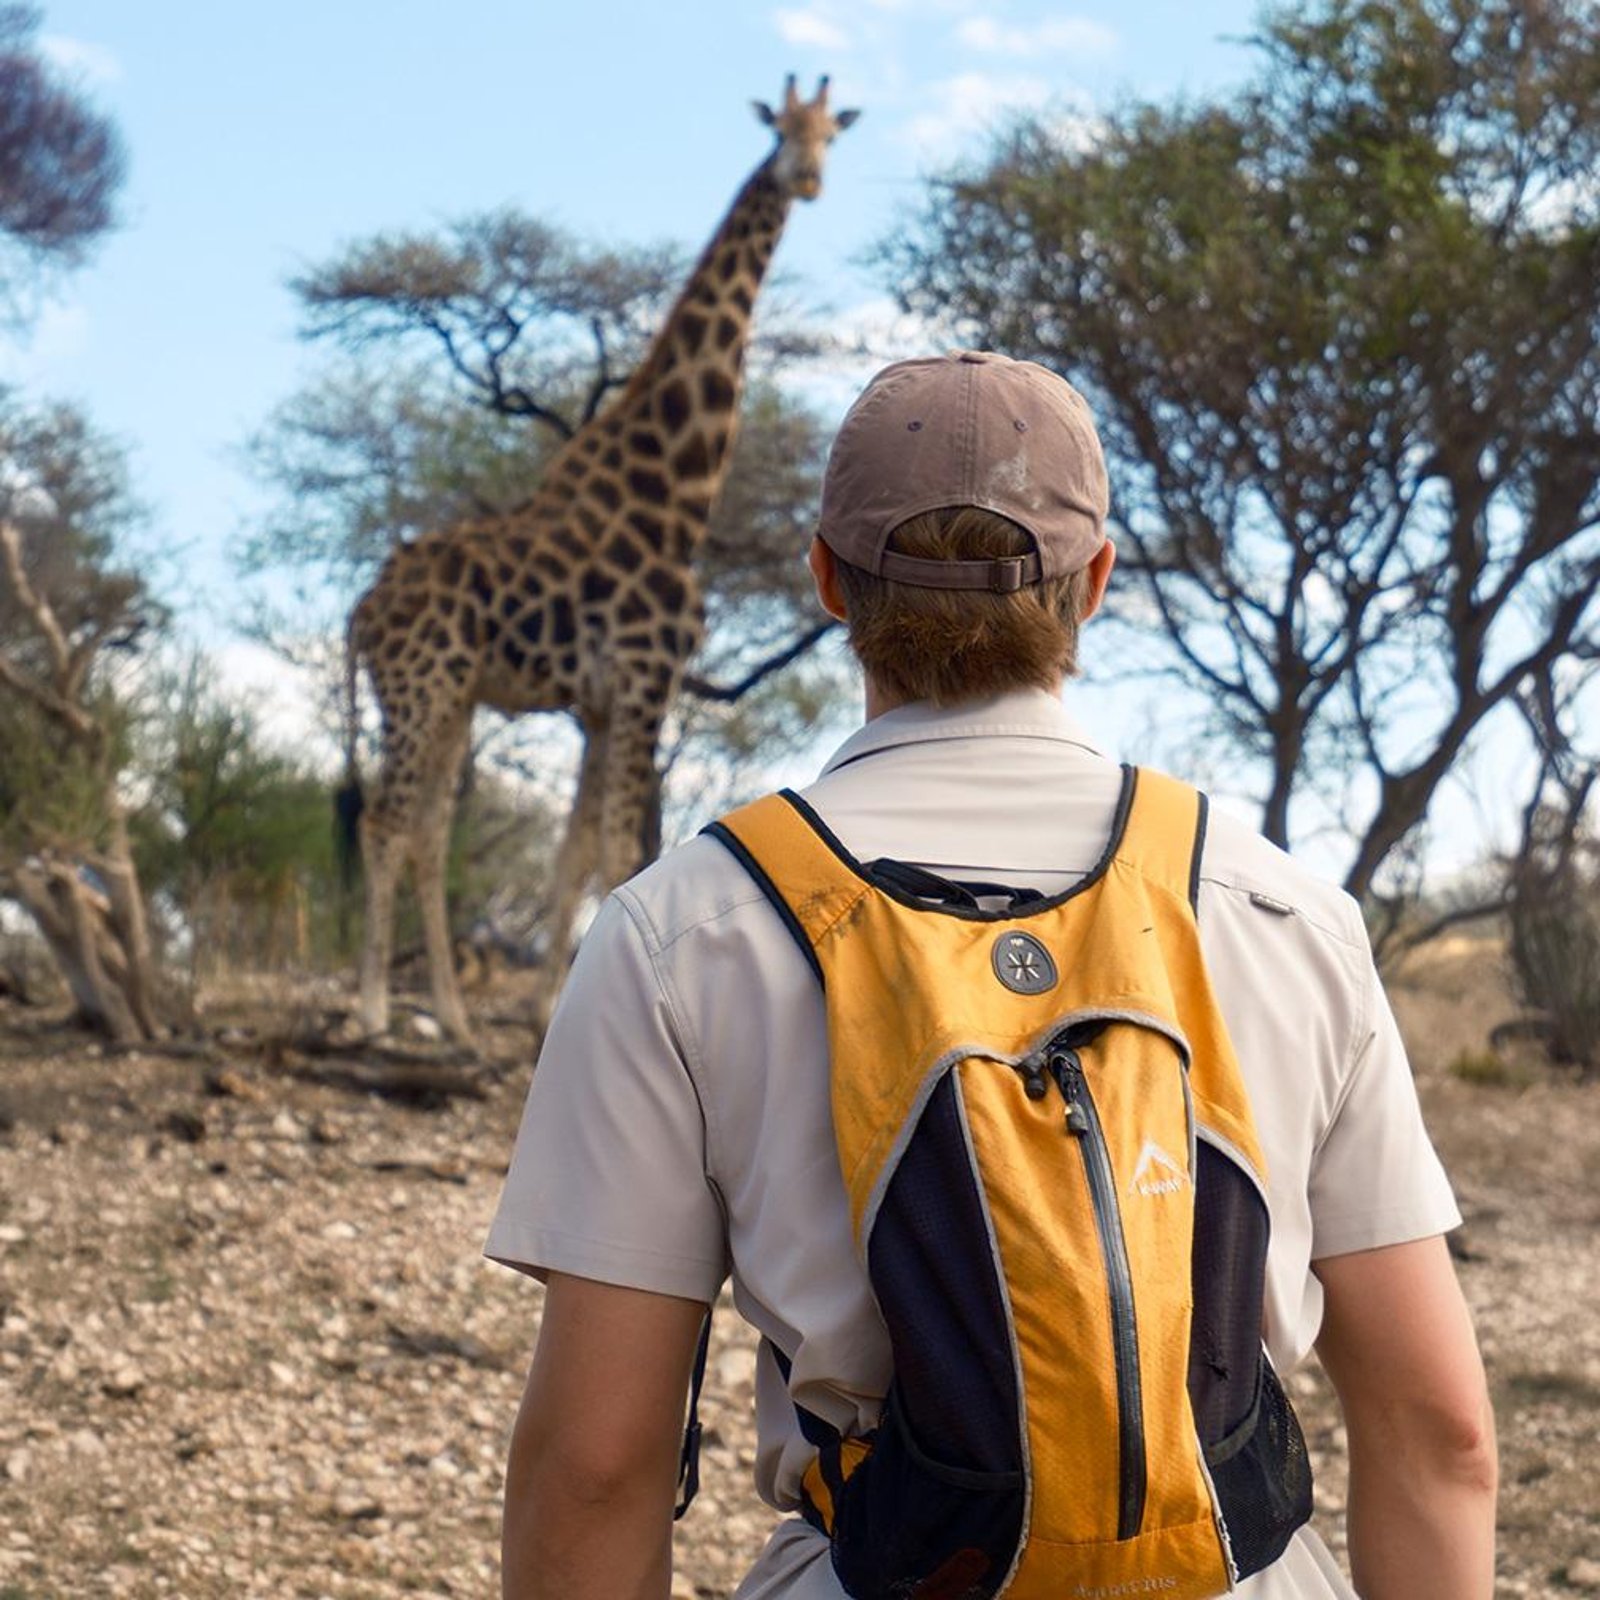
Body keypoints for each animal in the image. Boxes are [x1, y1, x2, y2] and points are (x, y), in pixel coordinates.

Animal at [342, 76, 858, 1044]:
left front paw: (547, 1008)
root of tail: (362, 613)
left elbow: (575, 852)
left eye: (831, 137)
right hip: (421, 687)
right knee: (386, 822)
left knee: (426, 831)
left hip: (452, 696)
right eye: (781, 129)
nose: (808, 179)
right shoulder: (645, 678)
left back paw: (455, 1019)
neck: (676, 493)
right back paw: (373, 1010)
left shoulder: (598, 699)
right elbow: (624, 849)